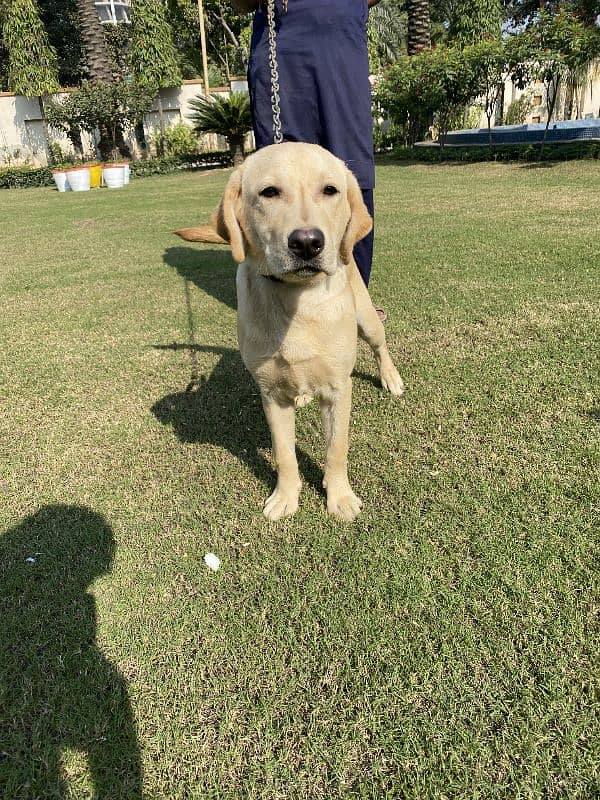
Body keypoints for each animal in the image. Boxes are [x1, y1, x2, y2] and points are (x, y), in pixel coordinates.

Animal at [177, 141, 404, 520]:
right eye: (269, 192)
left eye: (330, 190)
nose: (308, 242)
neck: (298, 301)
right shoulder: (271, 395)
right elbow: (284, 453)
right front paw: (285, 497)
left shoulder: (338, 390)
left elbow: (336, 449)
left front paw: (340, 497)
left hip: (367, 318)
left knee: (379, 345)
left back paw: (390, 377)